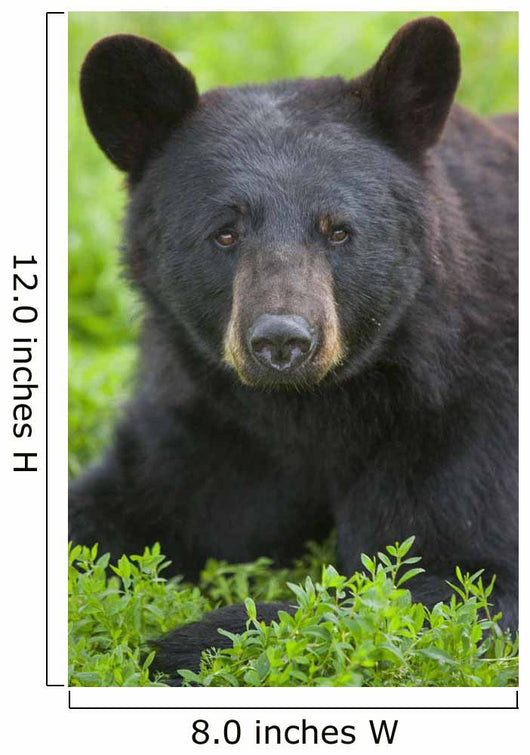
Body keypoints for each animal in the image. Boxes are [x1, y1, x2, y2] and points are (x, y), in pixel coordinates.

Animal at [70, 16, 518, 684]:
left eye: (339, 230)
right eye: (224, 233)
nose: (282, 341)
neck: (307, 408)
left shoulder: (465, 409)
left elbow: (447, 576)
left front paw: (175, 645)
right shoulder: (208, 420)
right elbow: (130, 501)